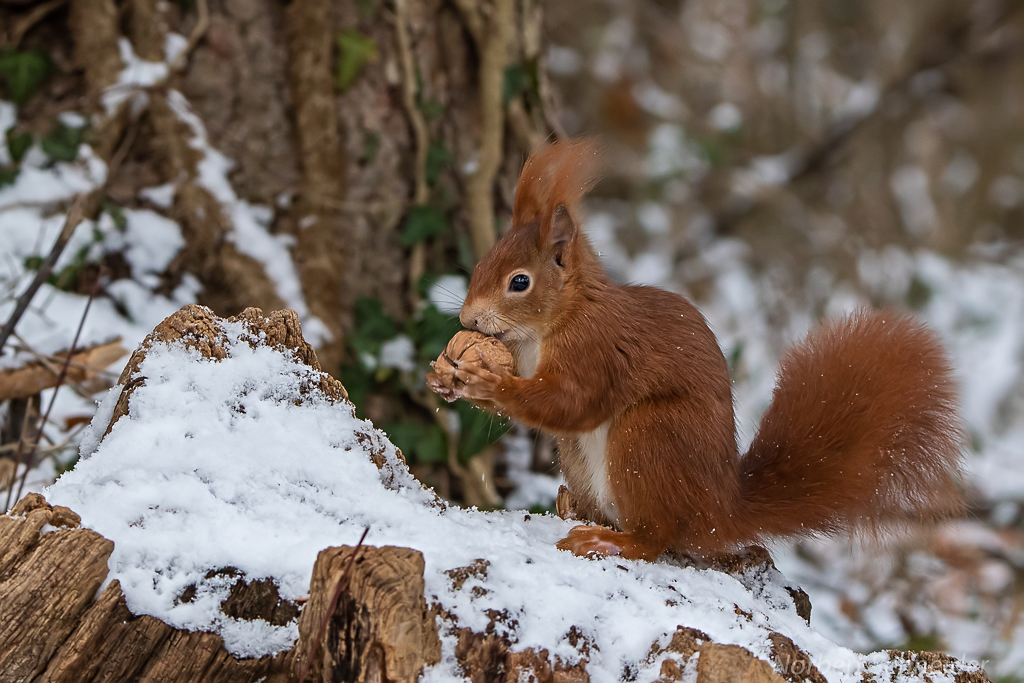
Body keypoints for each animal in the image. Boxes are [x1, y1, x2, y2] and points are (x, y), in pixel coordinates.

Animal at [436, 137, 962, 561]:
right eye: (480, 264)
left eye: (519, 282)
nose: (467, 320)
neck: (547, 327)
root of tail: (718, 512)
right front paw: (446, 375)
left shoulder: (596, 348)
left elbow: (573, 402)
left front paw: (489, 382)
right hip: (584, 459)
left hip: (649, 437)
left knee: (655, 539)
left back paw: (611, 540)